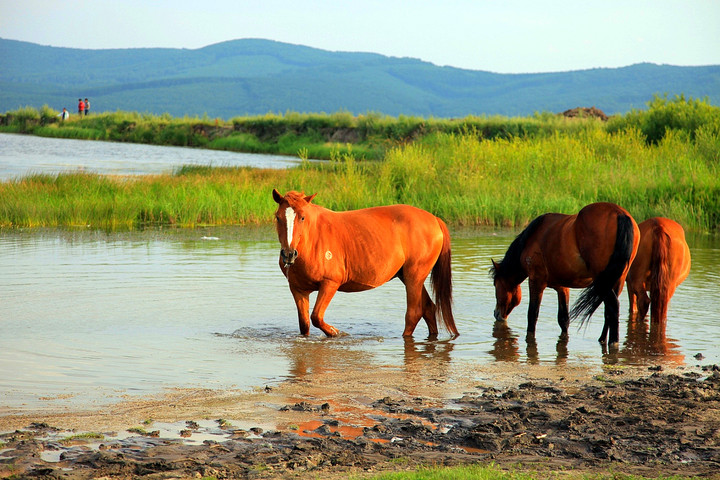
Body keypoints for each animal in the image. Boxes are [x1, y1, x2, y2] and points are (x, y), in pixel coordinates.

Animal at [272, 188, 458, 338]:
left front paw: (335, 332)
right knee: (429, 308)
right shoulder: (298, 289)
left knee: (414, 313)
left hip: (415, 277)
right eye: (278, 217)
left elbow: (316, 317)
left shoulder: (330, 283)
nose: (289, 254)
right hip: (408, 277)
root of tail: (434, 219)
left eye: (302, 217)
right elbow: (305, 325)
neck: (314, 237)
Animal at [490, 202, 640, 344]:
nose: (496, 314)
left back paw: (613, 342)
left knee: (613, 307)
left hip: (602, 280)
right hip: (617, 280)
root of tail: (620, 214)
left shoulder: (536, 281)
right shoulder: (562, 287)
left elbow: (532, 315)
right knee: (608, 311)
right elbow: (563, 319)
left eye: (496, 285)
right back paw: (602, 339)